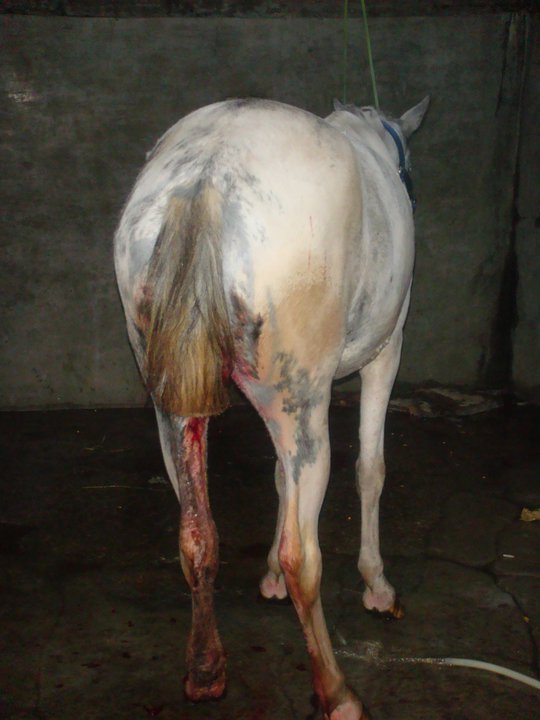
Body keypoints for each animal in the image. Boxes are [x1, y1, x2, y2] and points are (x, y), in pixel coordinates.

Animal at [114, 96, 429, 720]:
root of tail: (206, 178)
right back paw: (336, 692)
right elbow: (371, 470)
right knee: (301, 555)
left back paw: (205, 671)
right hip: (301, 404)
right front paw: (377, 585)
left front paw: (266, 583)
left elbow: (281, 482)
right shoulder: (386, 351)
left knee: (197, 537)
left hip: (178, 409)